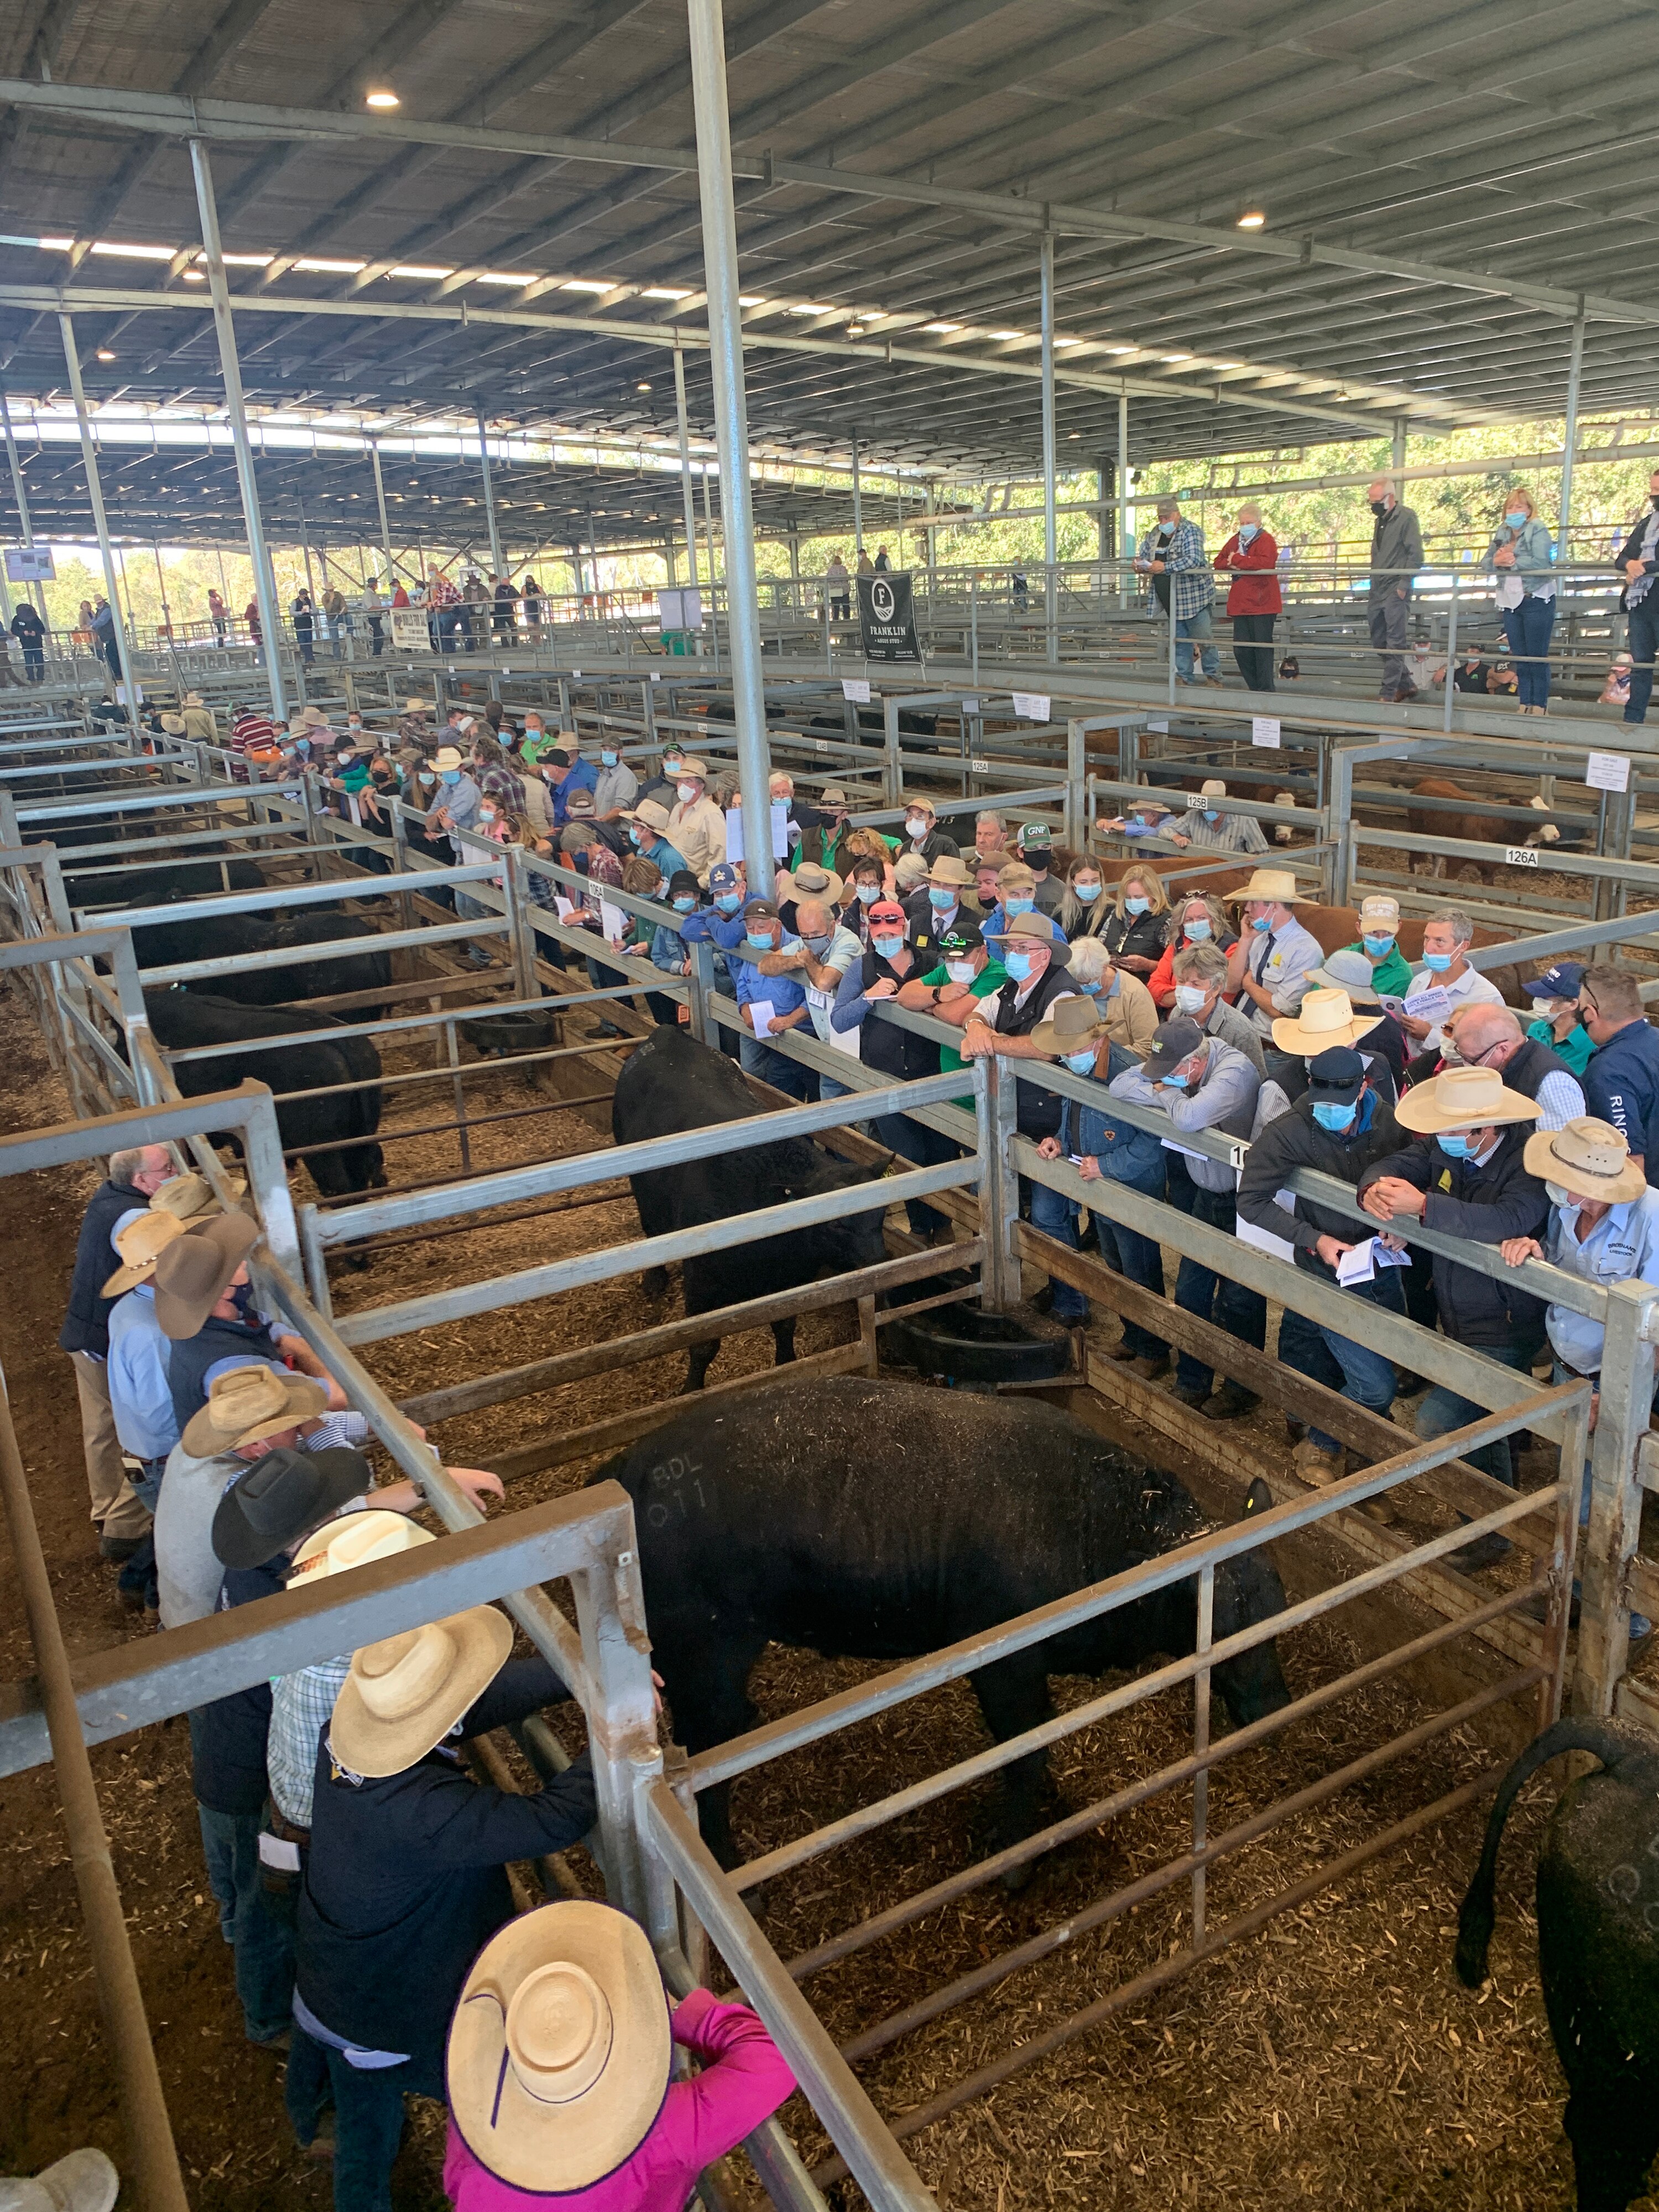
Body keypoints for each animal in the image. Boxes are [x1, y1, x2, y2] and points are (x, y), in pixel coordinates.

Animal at [592, 1376, 1291, 1867]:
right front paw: (1014, 1853)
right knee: (709, 1764)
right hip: (704, 1654)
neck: (1091, 1521)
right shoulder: (1005, 1663)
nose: (1276, 1706)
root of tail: (629, 1468)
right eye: (1223, 1622)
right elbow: (1023, 1750)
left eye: (1280, 1610)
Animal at [611, 1028, 891, 1391]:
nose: (881, 1264)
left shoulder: (790, 1280)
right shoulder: (701, 1281)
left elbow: (784, 1326)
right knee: (652, 1228)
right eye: (836, 1223)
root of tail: (668, 1034)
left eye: (881, 1212)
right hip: (641, 1186)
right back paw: (655, 1279)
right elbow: (703, 1345)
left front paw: (788, 1365)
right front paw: (692, 1389)